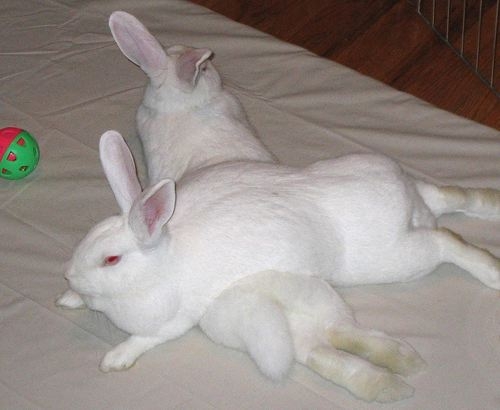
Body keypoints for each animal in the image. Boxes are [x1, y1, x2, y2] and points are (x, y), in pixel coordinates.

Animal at [56, 132, 498, 404]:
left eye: (111, 260)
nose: (69, 275)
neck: (163, 257)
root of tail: (402, 197)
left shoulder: (172, 320)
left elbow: (145, 339)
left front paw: (114, 359)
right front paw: (69, 299)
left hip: (392, 258)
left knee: (446, 241)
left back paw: (492, 273)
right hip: (415, 194)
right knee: (449, 196)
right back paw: (490, 203)